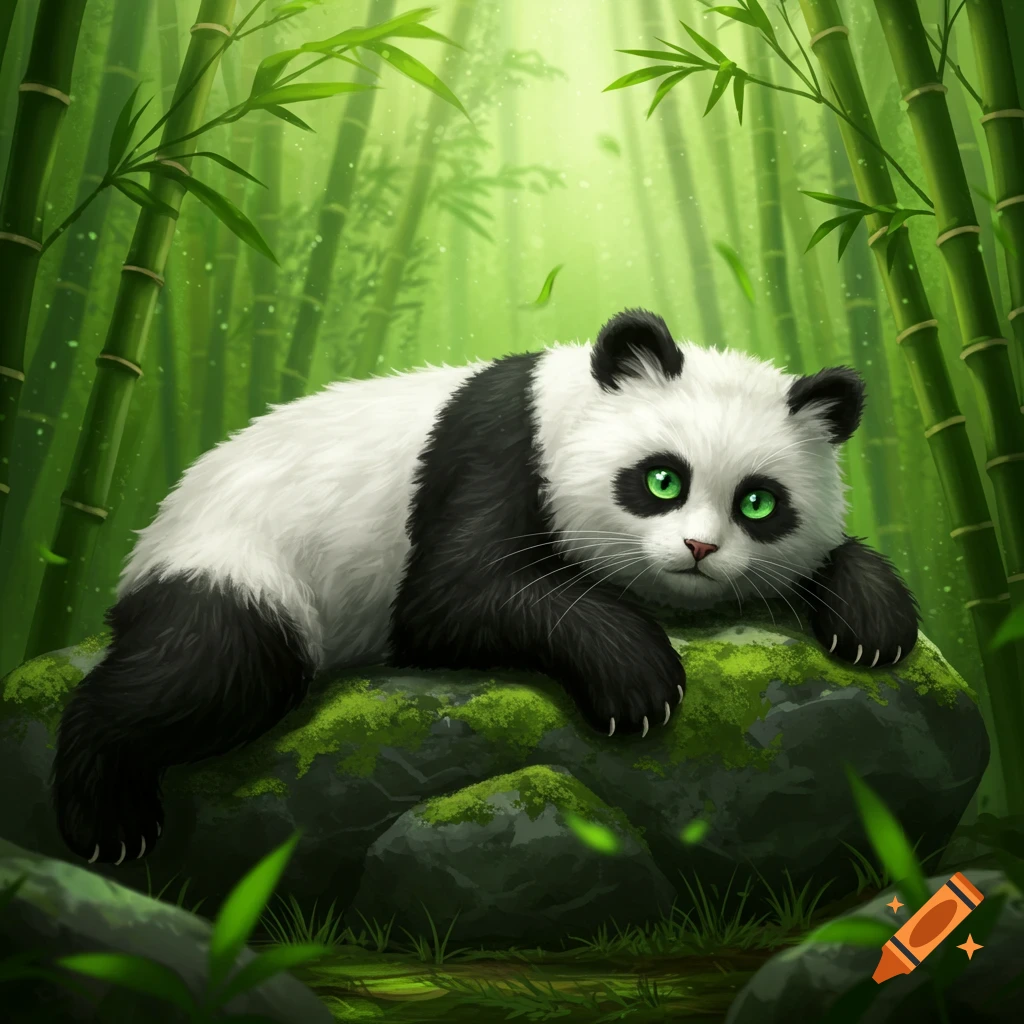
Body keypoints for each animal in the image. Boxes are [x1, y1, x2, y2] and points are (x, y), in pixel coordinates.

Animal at [52, 308, 919, 866]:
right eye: (662, 480)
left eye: (759, 503)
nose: (700, 550)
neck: (567, 406)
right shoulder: (492, 458)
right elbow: (455, 596)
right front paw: (638, 681)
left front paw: (875, 622)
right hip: (243, 561)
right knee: (208, 667)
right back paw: (108, 817)